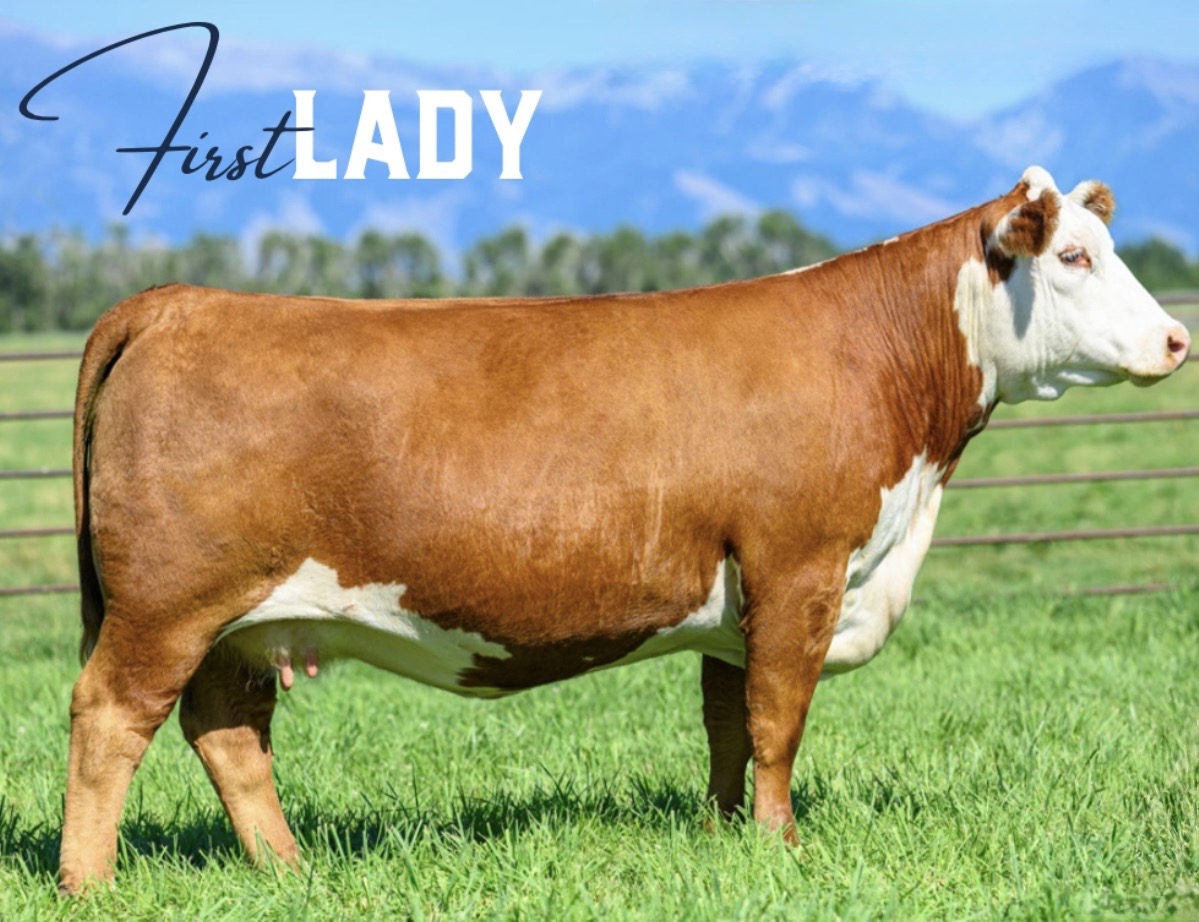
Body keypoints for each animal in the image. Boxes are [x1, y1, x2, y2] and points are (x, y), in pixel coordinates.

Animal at [59, 166, 1190, 892]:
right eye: (1075, 256)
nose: (1177, 338)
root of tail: (180, 301)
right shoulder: (799, 567)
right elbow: (778, 720)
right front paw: (783, 850)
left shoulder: (742, 596)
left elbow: (728, 722)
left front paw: (728, 839)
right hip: (167, 603)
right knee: (111, 719)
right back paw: (90, 883)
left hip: (236, 622)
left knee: (227, 730)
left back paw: (289, 872)